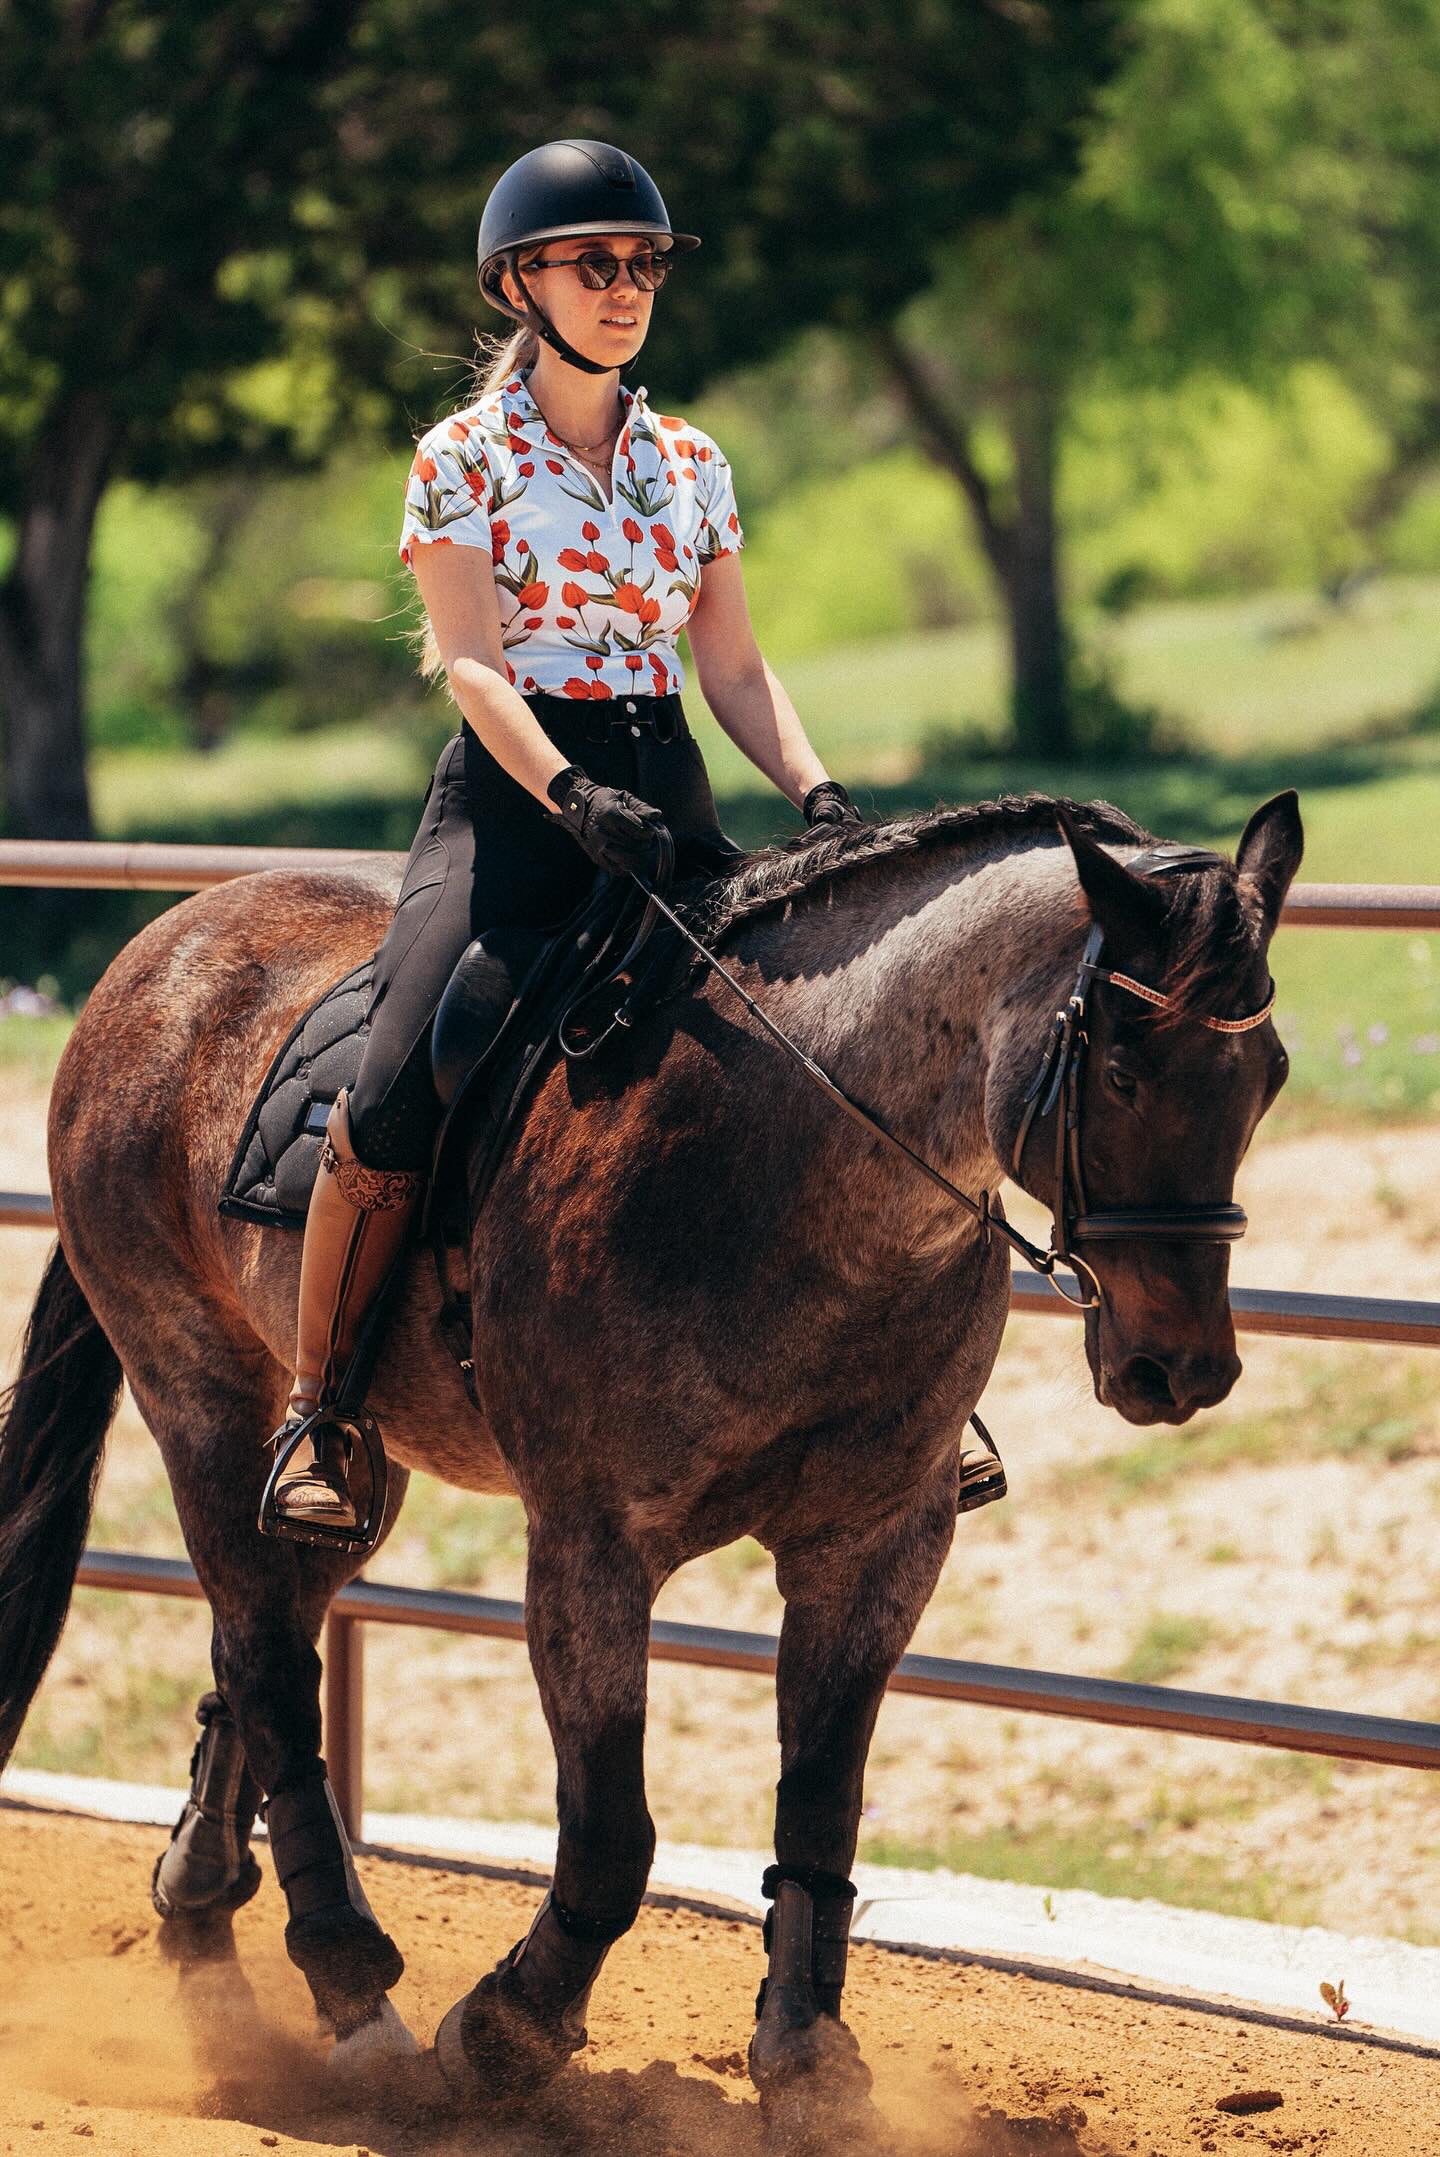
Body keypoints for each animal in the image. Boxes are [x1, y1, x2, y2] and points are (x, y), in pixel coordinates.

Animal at [0, 785, 1302, 2131]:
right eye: (1124, 1070)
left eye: (1269, 1073)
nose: (1181, 1367)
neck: (786, 1160)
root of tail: (161, 952)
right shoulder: (593, 1547)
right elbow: (614, 1831)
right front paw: (505, 2034)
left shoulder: (878, 1544)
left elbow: (821, 1807)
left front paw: (809, 2066)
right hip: (198, 1390)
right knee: (262, 1657)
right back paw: (353, 1998)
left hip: (348, 1460)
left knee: (259, 1645)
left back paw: (205, 1934)